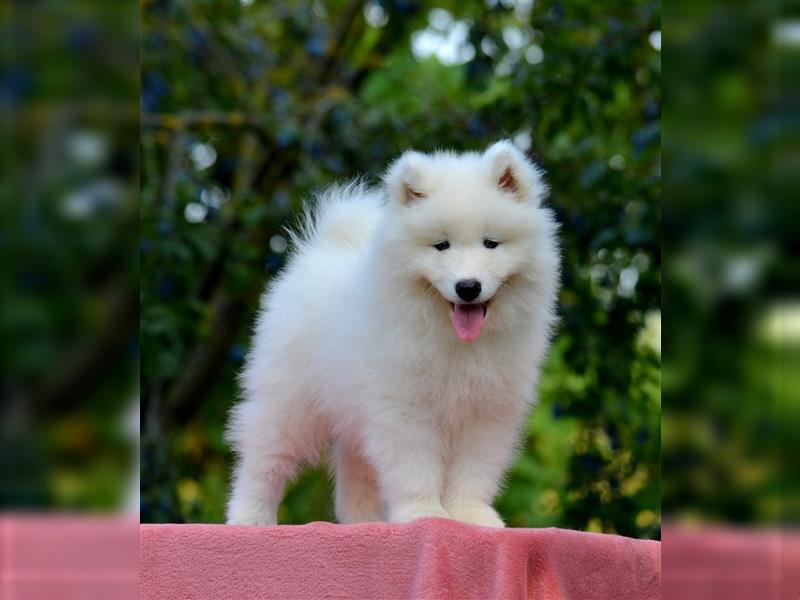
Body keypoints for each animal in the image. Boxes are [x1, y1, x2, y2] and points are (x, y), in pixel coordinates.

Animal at [225, 139, 560, 524]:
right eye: (441, 245)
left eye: (491, 243)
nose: (468, 287)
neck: (452, 339)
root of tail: (323, 250)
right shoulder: (403, 406)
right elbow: (414, 467)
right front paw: (424, 513)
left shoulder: (487, 412)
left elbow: (475, 470)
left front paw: (471, 515)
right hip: (289, 402)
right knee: (263, 462)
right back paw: (249, 518)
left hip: (352, 417)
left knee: (354, 473)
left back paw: (364, 524)